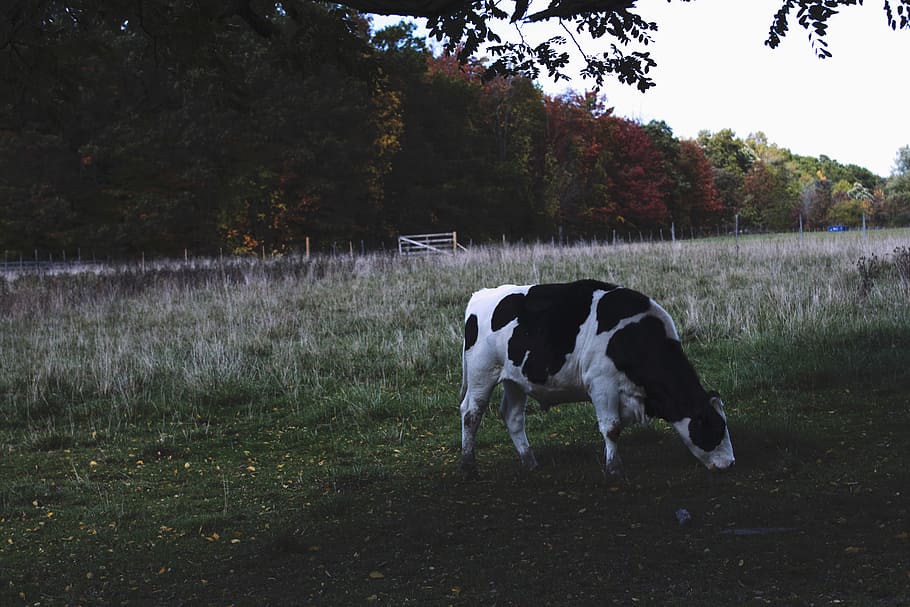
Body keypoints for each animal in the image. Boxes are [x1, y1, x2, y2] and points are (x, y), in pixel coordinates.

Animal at [458, 279, 735, 477]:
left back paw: (530, 461)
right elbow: (611, 428)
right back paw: (469, 465)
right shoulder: (602, 385)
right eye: (715, 426)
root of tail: (481, 295)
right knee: (471, 414)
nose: (730, 463)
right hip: (482, 373)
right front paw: (614, 468)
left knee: (513, 417)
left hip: (515, 380)